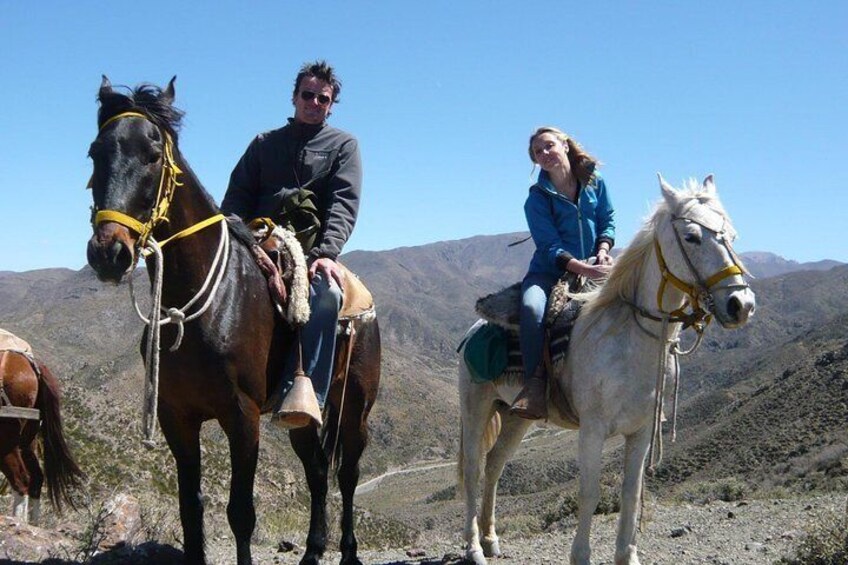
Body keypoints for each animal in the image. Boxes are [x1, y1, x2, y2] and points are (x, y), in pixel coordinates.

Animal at [83, 76, 380, 564]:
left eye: (152, 155)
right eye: (95, 152)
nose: (109, 253)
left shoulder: (242, 417)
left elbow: (241, 511)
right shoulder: (176, 416)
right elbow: (190, 507)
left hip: (355, 405)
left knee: (348, 473)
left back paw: (349, 552)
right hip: (301, 415)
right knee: (318, 471)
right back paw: (313, 550)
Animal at [460, 176, 760, 564]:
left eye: (732, 236)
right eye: (692, 236)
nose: (741, 305)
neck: (630, 339)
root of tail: (474, 328)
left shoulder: (641, 432)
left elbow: (631, 494)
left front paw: (627, 555)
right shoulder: (593, 430)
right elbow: (588, 492)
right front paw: (581, 555)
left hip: (516, 416)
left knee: (495, 463)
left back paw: (490, 539)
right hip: (475, 407)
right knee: (473, 469)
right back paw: (473, 547)